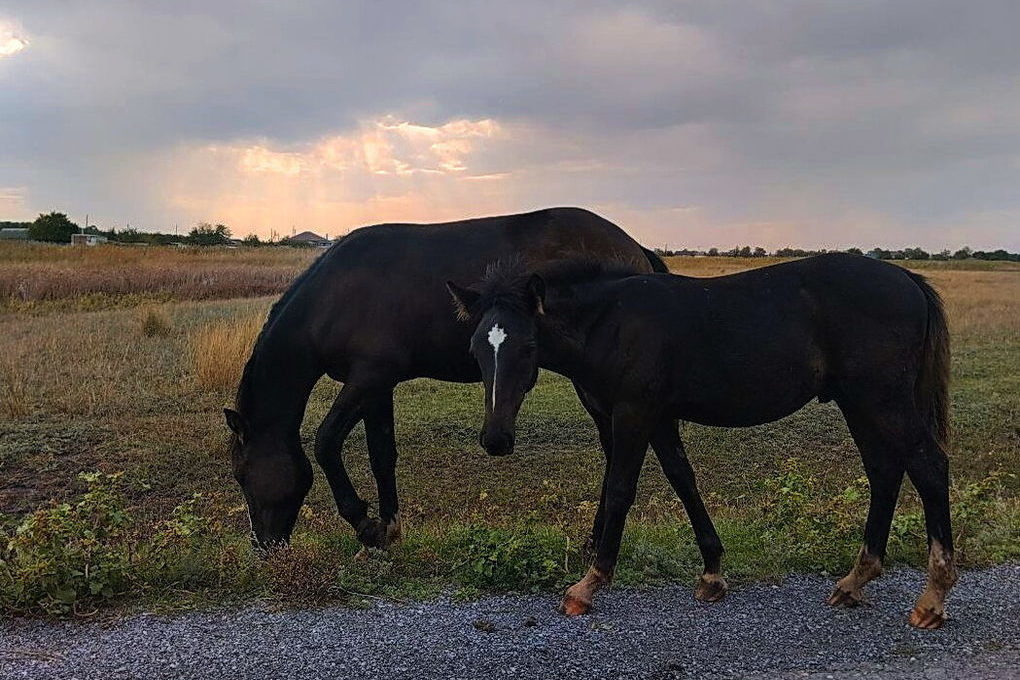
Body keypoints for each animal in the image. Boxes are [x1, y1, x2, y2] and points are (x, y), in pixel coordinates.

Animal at [223, 210, 665, 554]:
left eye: (242, 475)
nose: (262, 547)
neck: (335, 296)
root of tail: (637, 250)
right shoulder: (377, 384)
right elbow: (382, 454)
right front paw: (388, 529)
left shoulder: (366, 380)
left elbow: (326, 442)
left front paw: (364, 525)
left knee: (614, 451)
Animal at [446, 252, 954, 632]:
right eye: (476, 348)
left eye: (527, 347)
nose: (496, 438)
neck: (611, 322)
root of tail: (908, 279)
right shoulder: (659, 418)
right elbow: (682, 480)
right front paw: (712, 574)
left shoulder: (634, 413)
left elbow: (620, 489)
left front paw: (588, 585)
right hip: (858, 402)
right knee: (884, 472)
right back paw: (854, 581)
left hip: (882, 401)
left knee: (928, 467)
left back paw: (932, 598)